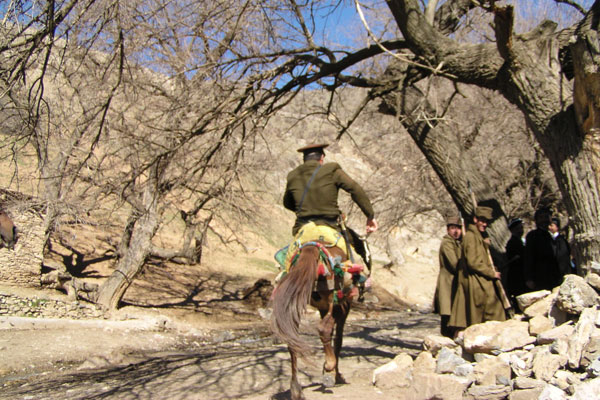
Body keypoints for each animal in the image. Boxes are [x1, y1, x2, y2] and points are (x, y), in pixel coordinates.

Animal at [272, 241, 360, 400]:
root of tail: (311, 247)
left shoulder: (324, 308)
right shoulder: (343, 307)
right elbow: (338, 339)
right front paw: (335, 374)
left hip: (296, 302)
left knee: (292, 340)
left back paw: (296, 389)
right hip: (332, 298)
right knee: (323, 329)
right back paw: (329, 367)